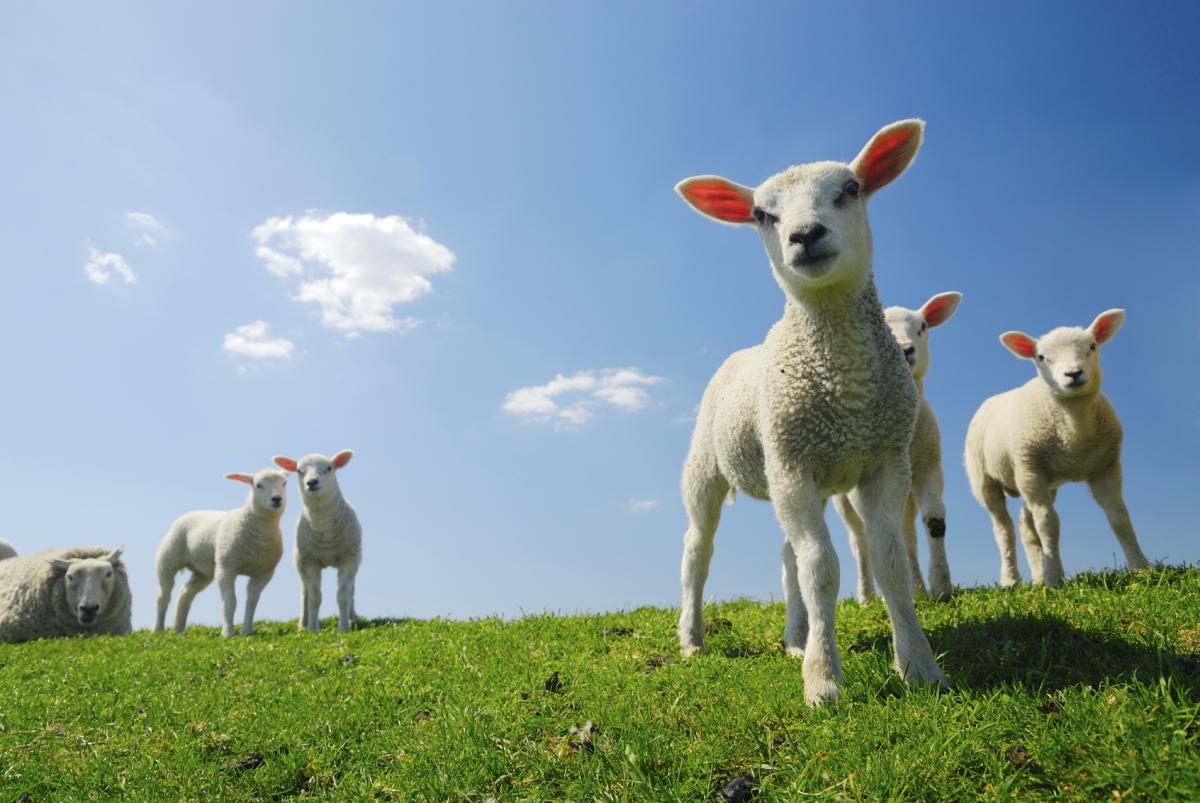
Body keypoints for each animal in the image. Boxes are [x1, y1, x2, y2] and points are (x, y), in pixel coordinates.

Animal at [155, 468, 289, 637]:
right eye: (258, 485)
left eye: (284, 483)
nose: (277, 499)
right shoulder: (226, 568)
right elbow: (230, 601)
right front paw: (227, 633)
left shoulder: (264, 573)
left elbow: (252, 602)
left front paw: (246, 631)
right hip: (167, 560)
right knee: (163, 596)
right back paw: (158, 629)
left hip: (203, 572)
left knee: (185, 593)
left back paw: (178, 629)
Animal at [273, 451, 362, 633]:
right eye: (299, 471)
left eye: (329, 468)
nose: (312, 482)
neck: (325, 527)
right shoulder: (310, 562)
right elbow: (314, 597)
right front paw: (313, 629)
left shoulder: (348, 560)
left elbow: (343, 595)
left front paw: (344, 628)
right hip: (300, 562)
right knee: (304, 593)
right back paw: (303, 624)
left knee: (351, 590)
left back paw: (352, 618)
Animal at [674, 119, 947, 704]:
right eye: (761, 214)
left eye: (851, 189)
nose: (805, 235)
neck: (845, 385)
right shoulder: (795, 465)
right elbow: (821, 569)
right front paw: (823, 682)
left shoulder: (884, 460)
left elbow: (888, 562)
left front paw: (919, 665)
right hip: (714, 466)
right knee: (697, 551)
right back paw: (692, 638)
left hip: (798, 472)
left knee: (787, 557)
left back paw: (796, 637)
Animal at [833, 291, 962, 604]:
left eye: (923, 327)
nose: (905, 350)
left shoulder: (930, 466)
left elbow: (934, 521)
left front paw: (941, 586)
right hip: (843, 500)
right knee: (859, 541)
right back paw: (866, 596)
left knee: (906, 535)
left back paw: (917, 588)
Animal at [965, 309, 1151, 587]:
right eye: (1041, 357)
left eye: (1092, 346)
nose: (1073, 374)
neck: (1074, 433)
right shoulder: (1031, 469)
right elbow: (1048, 524)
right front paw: (1055, 578)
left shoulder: (1105, 466)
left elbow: (1119, 516)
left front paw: (1141, 568)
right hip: (986, 478)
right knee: (1003, 528)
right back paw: (1011, 579)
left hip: (1035, 478)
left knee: (1026, 525)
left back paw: (1038, 576)